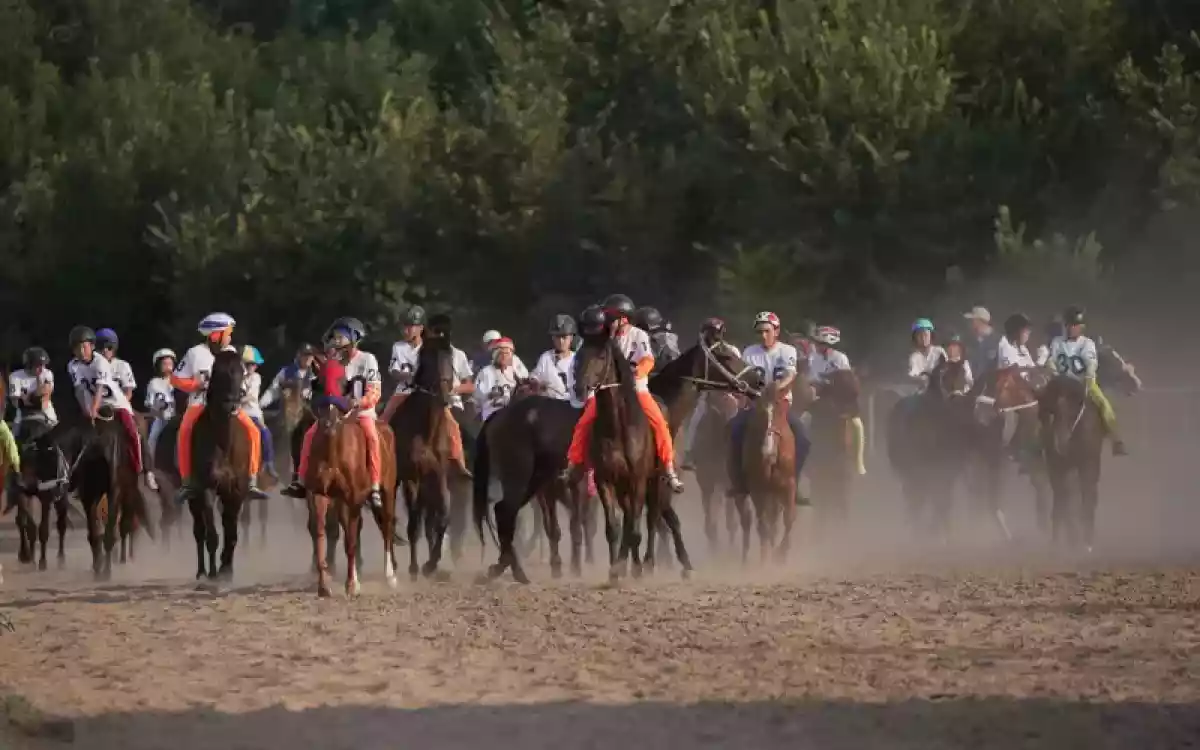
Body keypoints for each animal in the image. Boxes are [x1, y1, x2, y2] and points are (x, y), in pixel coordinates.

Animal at [307, 403, 400, 597]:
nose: (328, 425)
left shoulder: (353, 499)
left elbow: (351, 541)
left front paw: (351, 585)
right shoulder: (321, 495)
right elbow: (320, 536)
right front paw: (323, 586)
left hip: (388, 492)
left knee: (387, 527)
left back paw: (390, 577)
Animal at [388, 336, 458, 578]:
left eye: (450, 358)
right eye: (429, 360)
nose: (445, 396)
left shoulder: (439, 476)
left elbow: (443, 516)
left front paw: (431, 563)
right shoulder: (412, 478)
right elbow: (413, 525)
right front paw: (414, 567)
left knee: (428, 523)